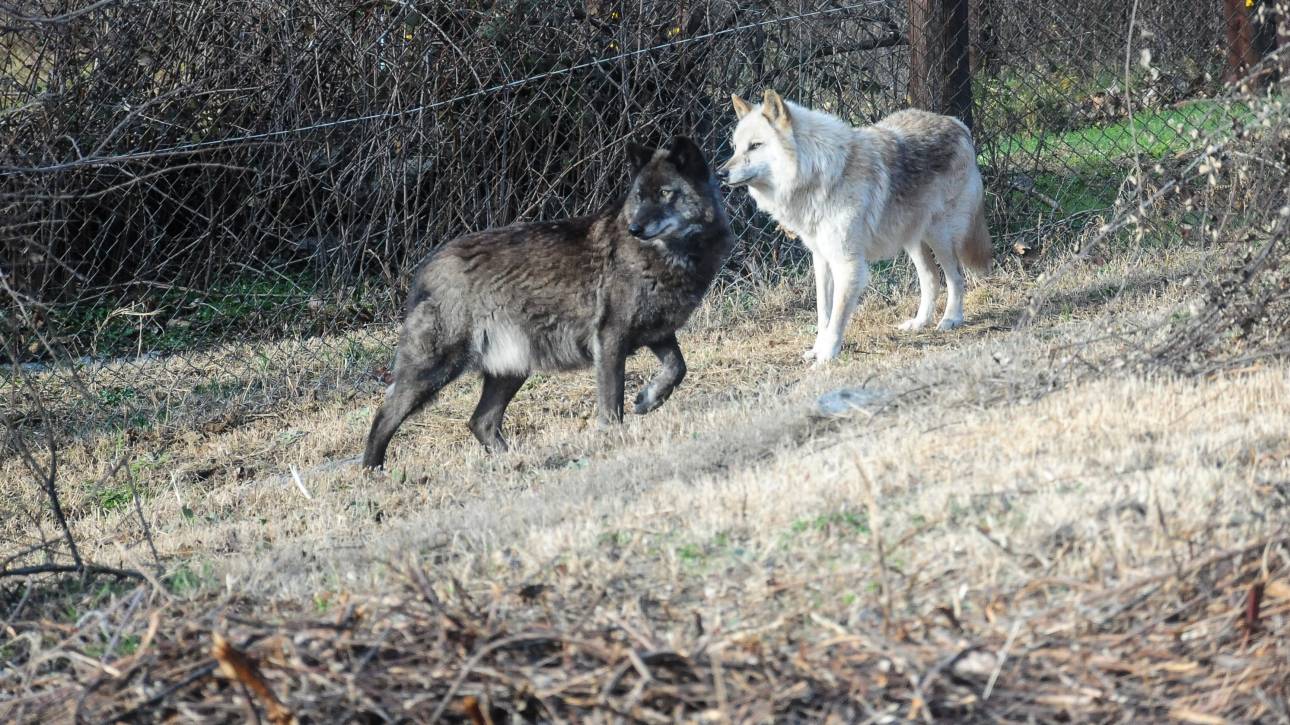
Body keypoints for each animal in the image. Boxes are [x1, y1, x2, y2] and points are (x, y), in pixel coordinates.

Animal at [361, 136, 737, 469]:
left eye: (665, 194)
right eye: (640, 196)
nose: (635, 228)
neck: (668, 256)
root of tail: (428, 265)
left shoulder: (657, 334)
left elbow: (677, 369)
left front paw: (648, 400)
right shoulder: (610, 339)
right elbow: (612, 403)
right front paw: (614, 439)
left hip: (510, 371)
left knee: (480, 422)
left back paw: (512, 461)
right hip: (435, 369)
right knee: (385, 414)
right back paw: (372, 472)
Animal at [717, 90, 985, 361]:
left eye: (755, 145)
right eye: (735, 147)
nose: (720, 174)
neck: (821, 175)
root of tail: (956, 123)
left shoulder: (847, 264)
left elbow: (837, 317)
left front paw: (827, 356)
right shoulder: (822, 259)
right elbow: (823, 313)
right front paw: (817, 349)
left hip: (939, 236)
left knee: (956, 277)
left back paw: (951, 319)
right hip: (912, 240)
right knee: (931, 278)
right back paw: (920, 323)